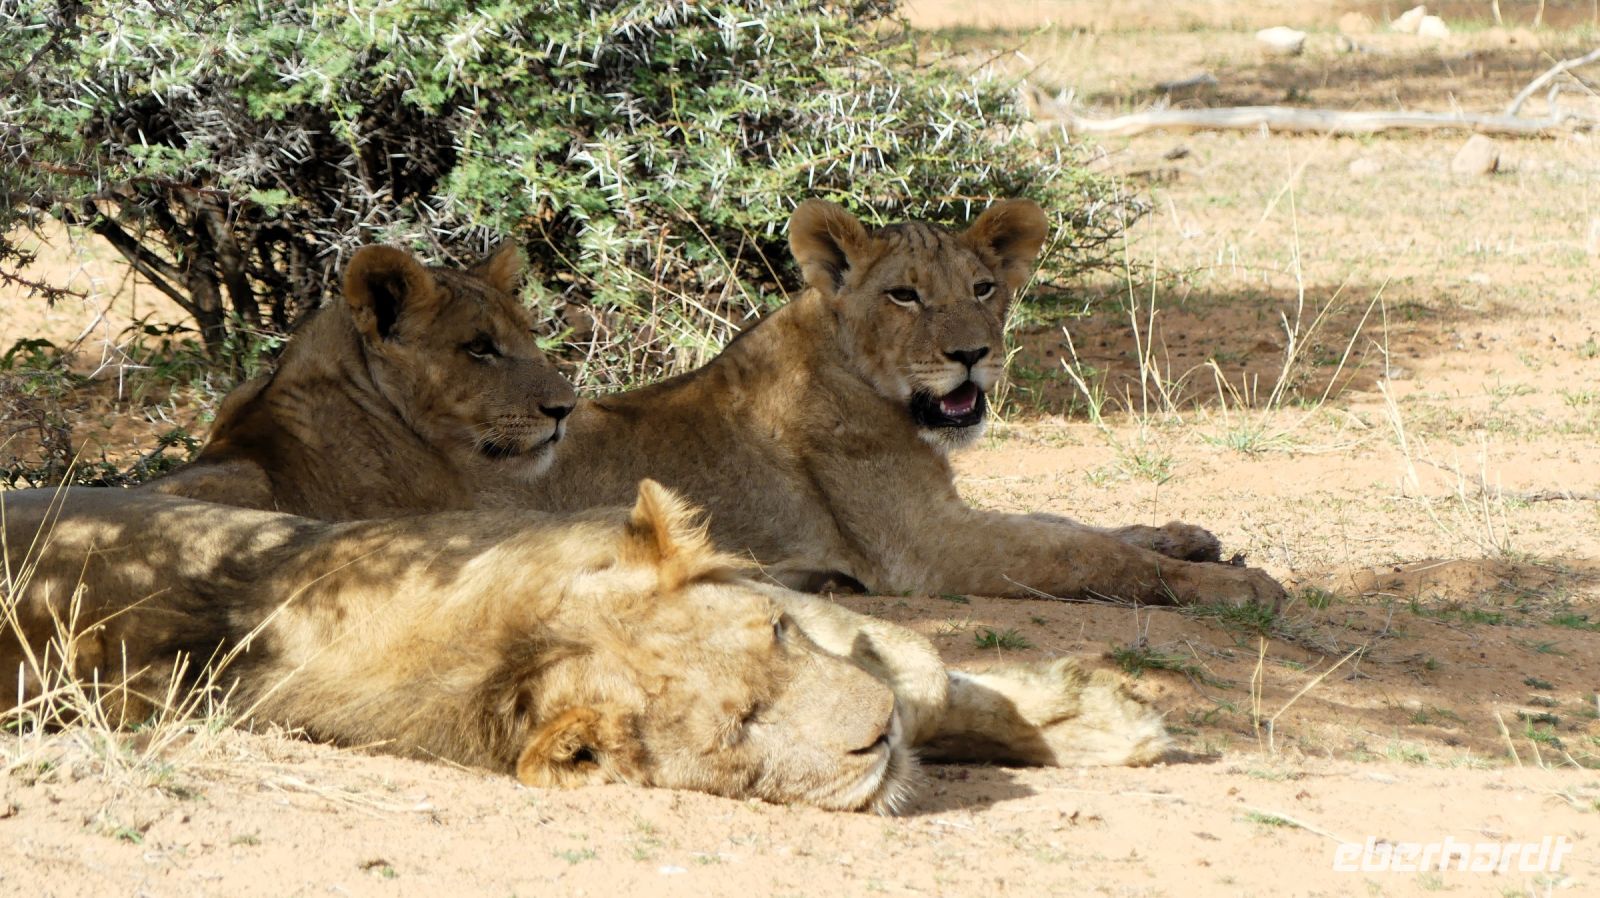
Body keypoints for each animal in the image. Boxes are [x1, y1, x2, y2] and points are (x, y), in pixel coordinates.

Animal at [0, 484, 1168, 812]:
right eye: (739, 730)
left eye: (777, 633)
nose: (872, 733)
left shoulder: (858, 637)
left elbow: (941, 680)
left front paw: (1114, 721)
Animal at [515, 199, 1286, 607]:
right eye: (905, 295)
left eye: (982, 288)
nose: (973, 353)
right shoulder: (927, 547)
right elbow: (1084, 554)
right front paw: (1236, 587)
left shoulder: (946, 511)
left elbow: (1073, 524)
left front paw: (1185, 537)